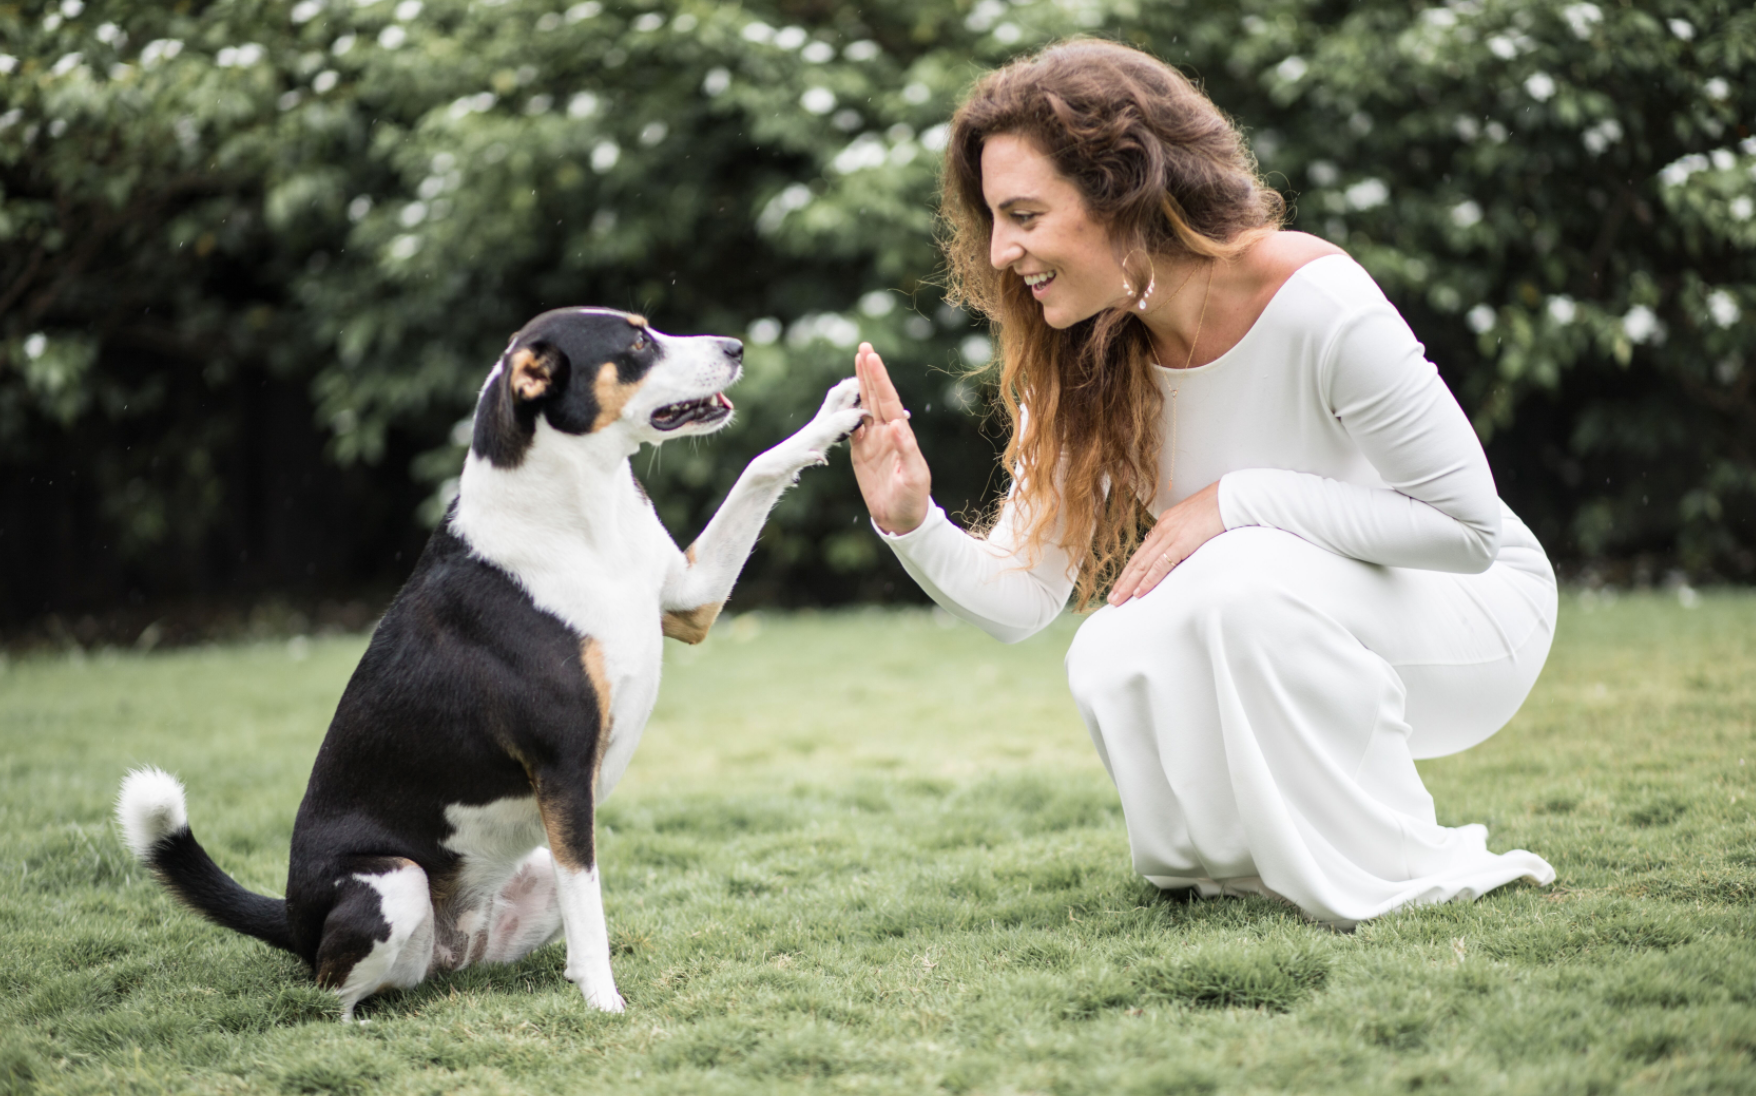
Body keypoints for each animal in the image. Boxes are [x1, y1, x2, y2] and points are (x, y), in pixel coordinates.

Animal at [111, 305, 863, 1018]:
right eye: (637, 343)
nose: (736, 346)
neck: (586, 516)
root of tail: (293, 918)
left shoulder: (691, 598)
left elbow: (760, 466)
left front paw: (837, 409)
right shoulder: (564, 773)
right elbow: (592, 917)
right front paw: (605, 1005)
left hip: (527, 871)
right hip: (394, 884)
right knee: (323, 994)